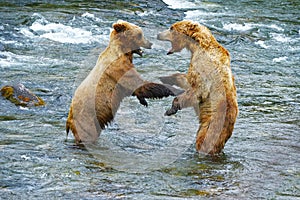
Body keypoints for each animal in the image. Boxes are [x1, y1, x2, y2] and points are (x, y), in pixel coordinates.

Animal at [157, 20, 239, 155]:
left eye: (171, 28)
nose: (158, 34)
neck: (197, 45)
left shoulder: (202, 65)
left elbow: (197, 90)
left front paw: (171, 109)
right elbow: (187, 80)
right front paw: (165, 77)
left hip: (212, 125)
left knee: (204, 141)